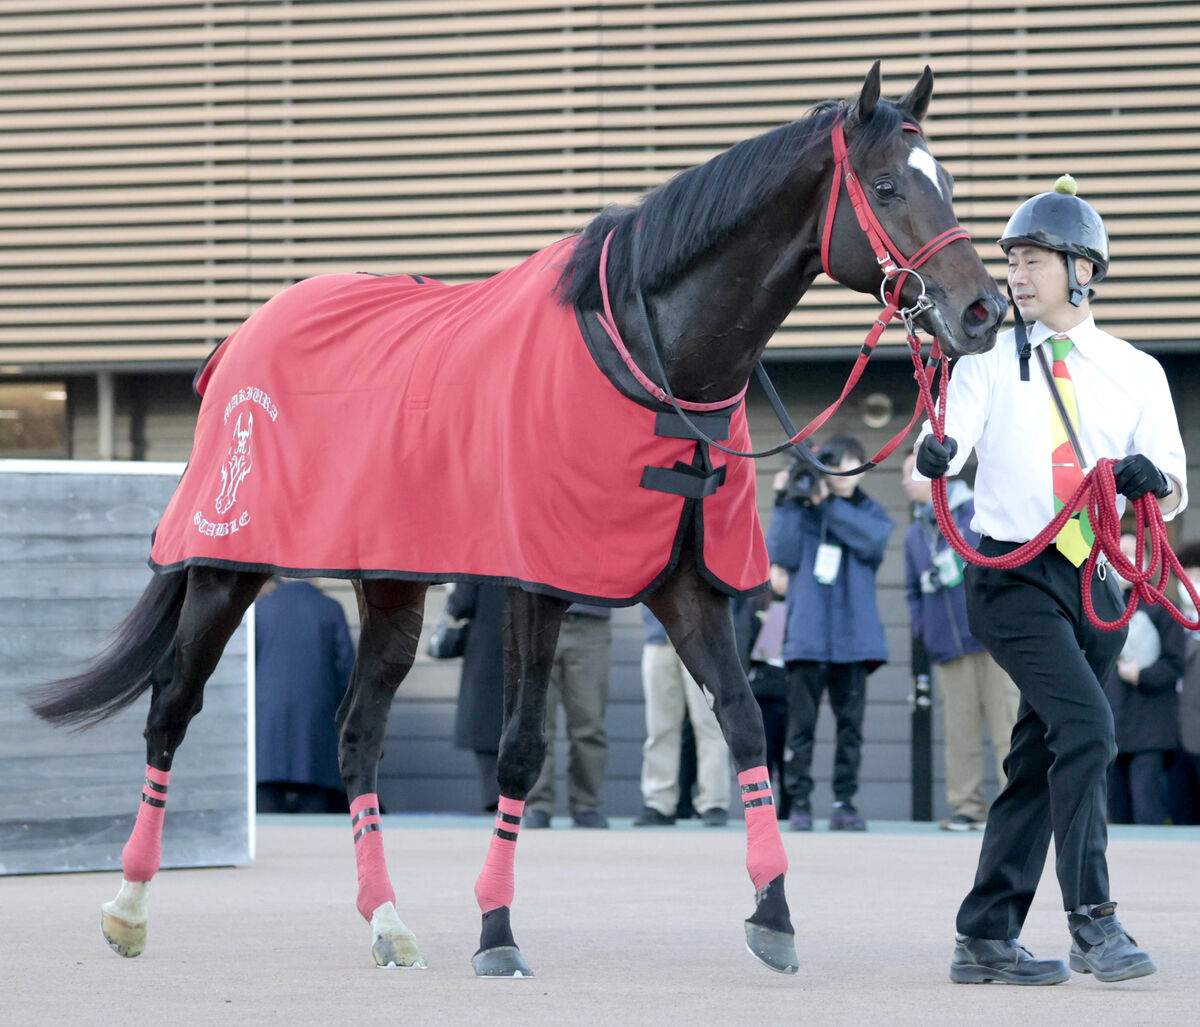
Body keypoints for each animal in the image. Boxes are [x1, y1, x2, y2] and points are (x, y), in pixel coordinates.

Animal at [25, 64, 1003, 979]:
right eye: (888, 186)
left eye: (949, 180)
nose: (982, 311)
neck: (648, 355)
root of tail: (239, 338)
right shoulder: (542, 580)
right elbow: (521, 751)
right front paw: (497, 931)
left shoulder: (691, 584)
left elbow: (742, 719)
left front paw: (773, 913)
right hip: (226, 566)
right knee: (171, 707)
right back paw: (129, 903)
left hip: (389, 581)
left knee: (356, 733)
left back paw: (387, 919)